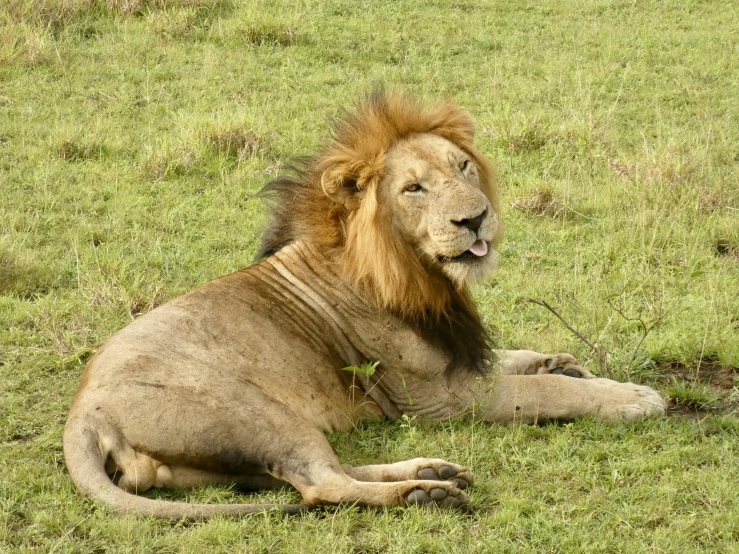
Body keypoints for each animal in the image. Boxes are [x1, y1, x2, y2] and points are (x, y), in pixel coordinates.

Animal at [62, 88, 664, 516]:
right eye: (413, 189)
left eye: (462, 167)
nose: (474, 219)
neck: (420, 272)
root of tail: (84, 411)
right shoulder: (440, 399)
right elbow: (546, 392)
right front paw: (631, 397)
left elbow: (518, 361)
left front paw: (559, 359)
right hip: (258, 414)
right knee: (320, 486)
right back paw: (426, 495)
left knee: (317, 474)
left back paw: (435, 475)